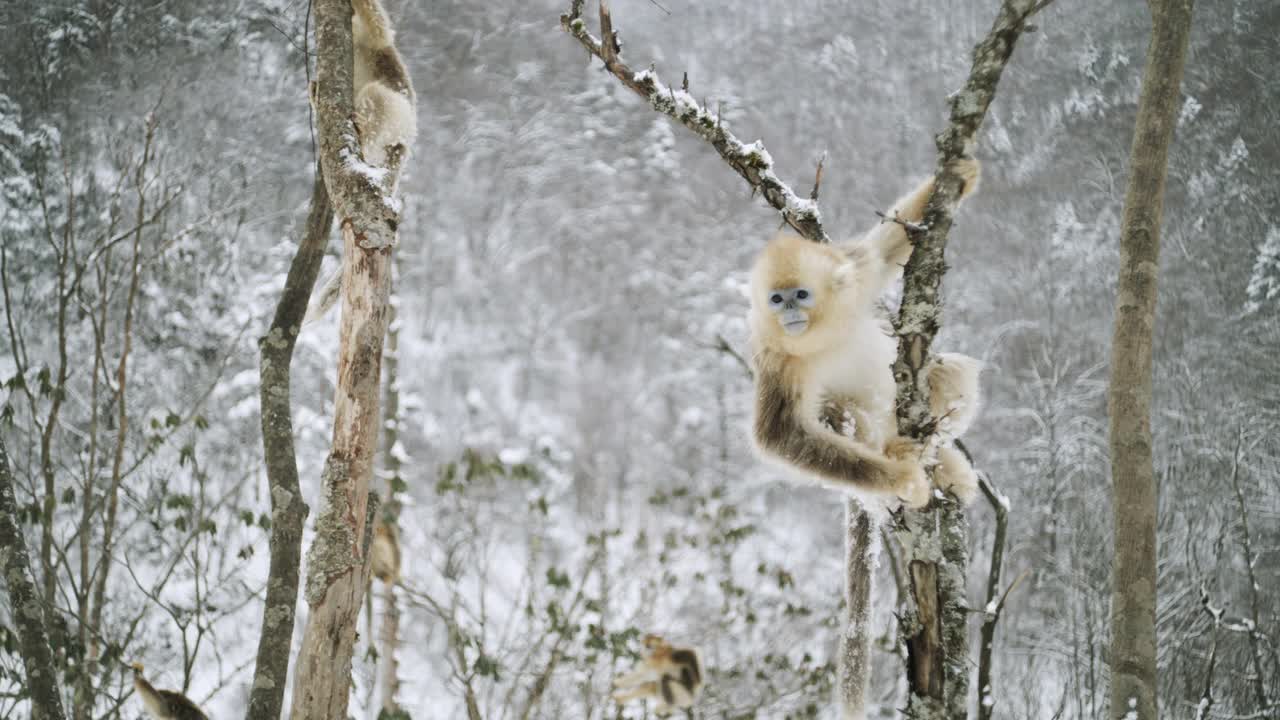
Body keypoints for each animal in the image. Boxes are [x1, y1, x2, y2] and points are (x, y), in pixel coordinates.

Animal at [747, 158, 983, 504]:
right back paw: (897, 454)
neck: (825, 333)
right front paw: (903, 480)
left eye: (801, 295)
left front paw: (962, 173)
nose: (789, 311)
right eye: (776, 299)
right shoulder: (775, 357)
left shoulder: (856, 273)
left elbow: (884, 250)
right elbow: (782, 435)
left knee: (951, 370)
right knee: (839, 410)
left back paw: (939, 455)